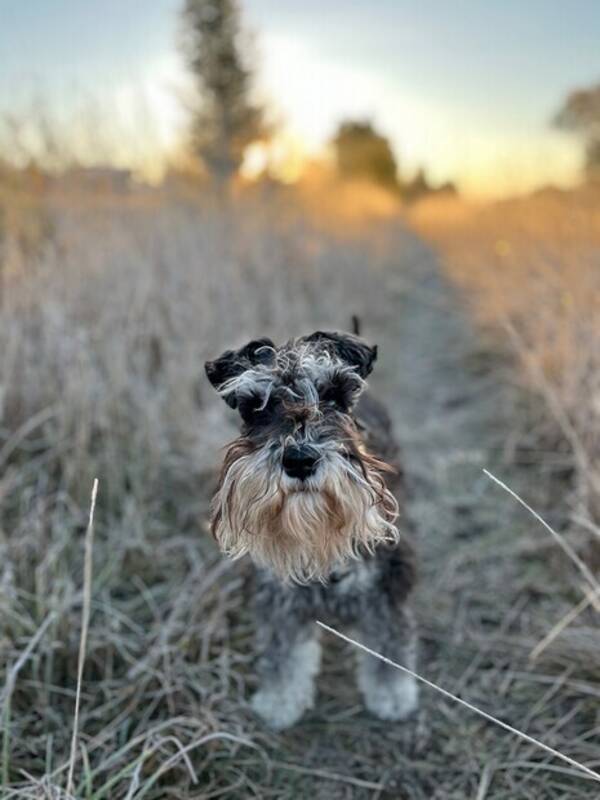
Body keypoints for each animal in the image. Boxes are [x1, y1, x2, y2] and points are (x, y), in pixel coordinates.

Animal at [205, 328, 418, 728]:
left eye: (334, 394)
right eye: (255, 406)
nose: (300, 459)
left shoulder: (385, 583)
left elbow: (389, 639)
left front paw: (393, 695)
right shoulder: (277, 596)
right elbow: (282, 651)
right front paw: (280, 700)